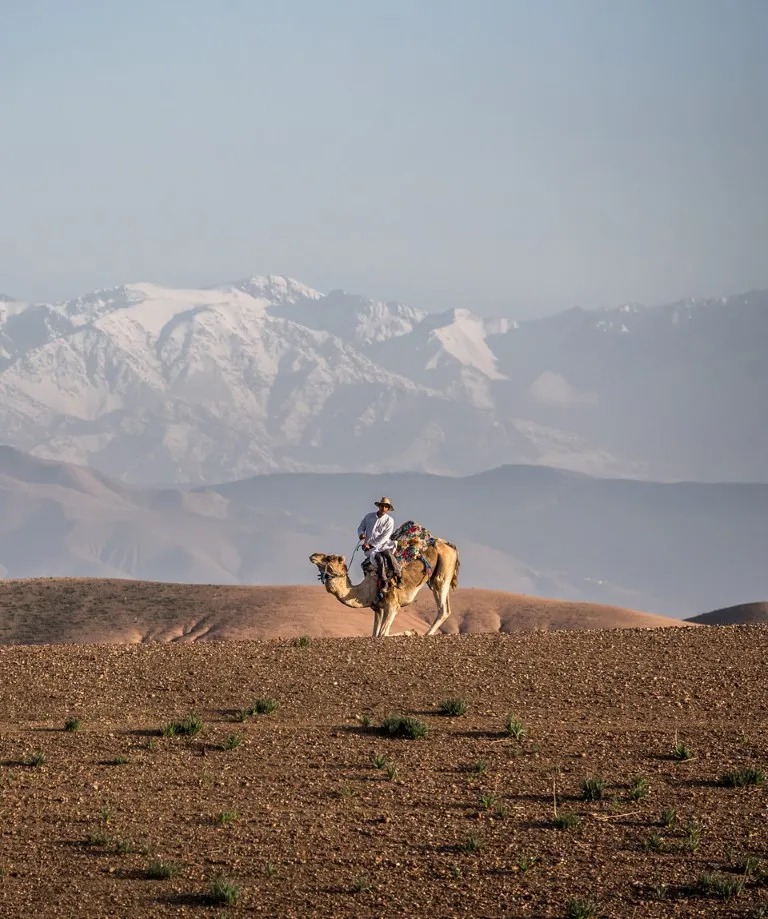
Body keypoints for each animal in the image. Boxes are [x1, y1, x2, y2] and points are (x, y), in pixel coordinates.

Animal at [308, 540, 460, 640]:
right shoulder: (378, 608)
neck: (367, 590)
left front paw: (411, 632)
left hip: (443, 569)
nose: (313, 555)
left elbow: (383, 634)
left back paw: (426, 634)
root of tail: (449, 546)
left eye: (329, 558)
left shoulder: (392, 605)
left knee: (443, 608)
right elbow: (375, 635)